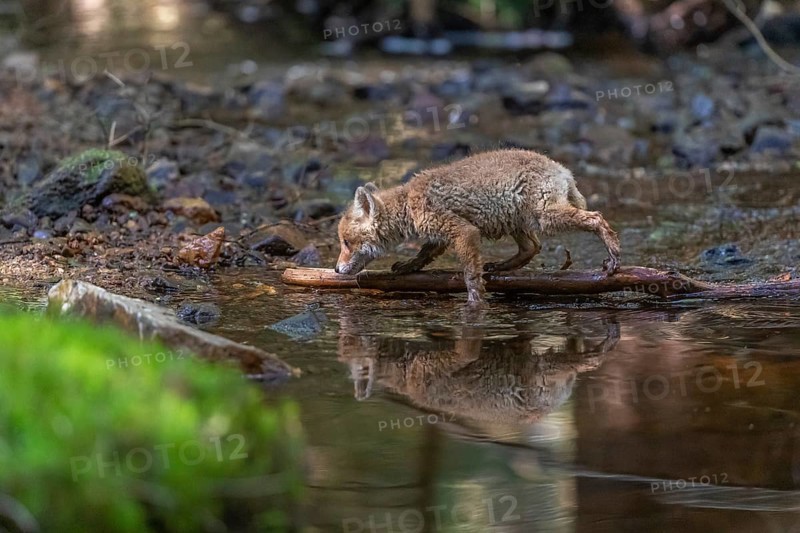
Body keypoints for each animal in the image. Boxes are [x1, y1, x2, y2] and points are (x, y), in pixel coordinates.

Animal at [334, 148, 621, 303]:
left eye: (346, 242)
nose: (336, 269)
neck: (408, 204)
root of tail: (562, 170)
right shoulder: (440, 235)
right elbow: (424, 255)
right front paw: (407, 267)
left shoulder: (463, 231)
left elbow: (470, 275)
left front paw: (475, 302)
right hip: (516, 219)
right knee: (532, 247)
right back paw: (500, 268)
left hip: (546, 217)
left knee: (596, 217)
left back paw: (613, 255)